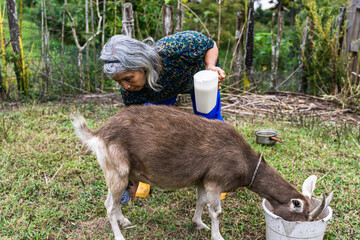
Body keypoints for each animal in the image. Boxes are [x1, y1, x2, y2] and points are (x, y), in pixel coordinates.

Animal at [71, 105, 332, 240]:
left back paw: (124, 221)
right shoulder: (217, 179)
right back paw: (119, 235)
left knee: (115, 201)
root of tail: (98, 133)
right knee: (108, 203)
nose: (305, 228)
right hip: (117, 168)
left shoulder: (204, 179)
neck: (246, 162)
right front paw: (218, 236)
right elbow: (216, 211)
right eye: (302, 217)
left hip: (123, 172)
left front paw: (199, 224)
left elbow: (200, 201)